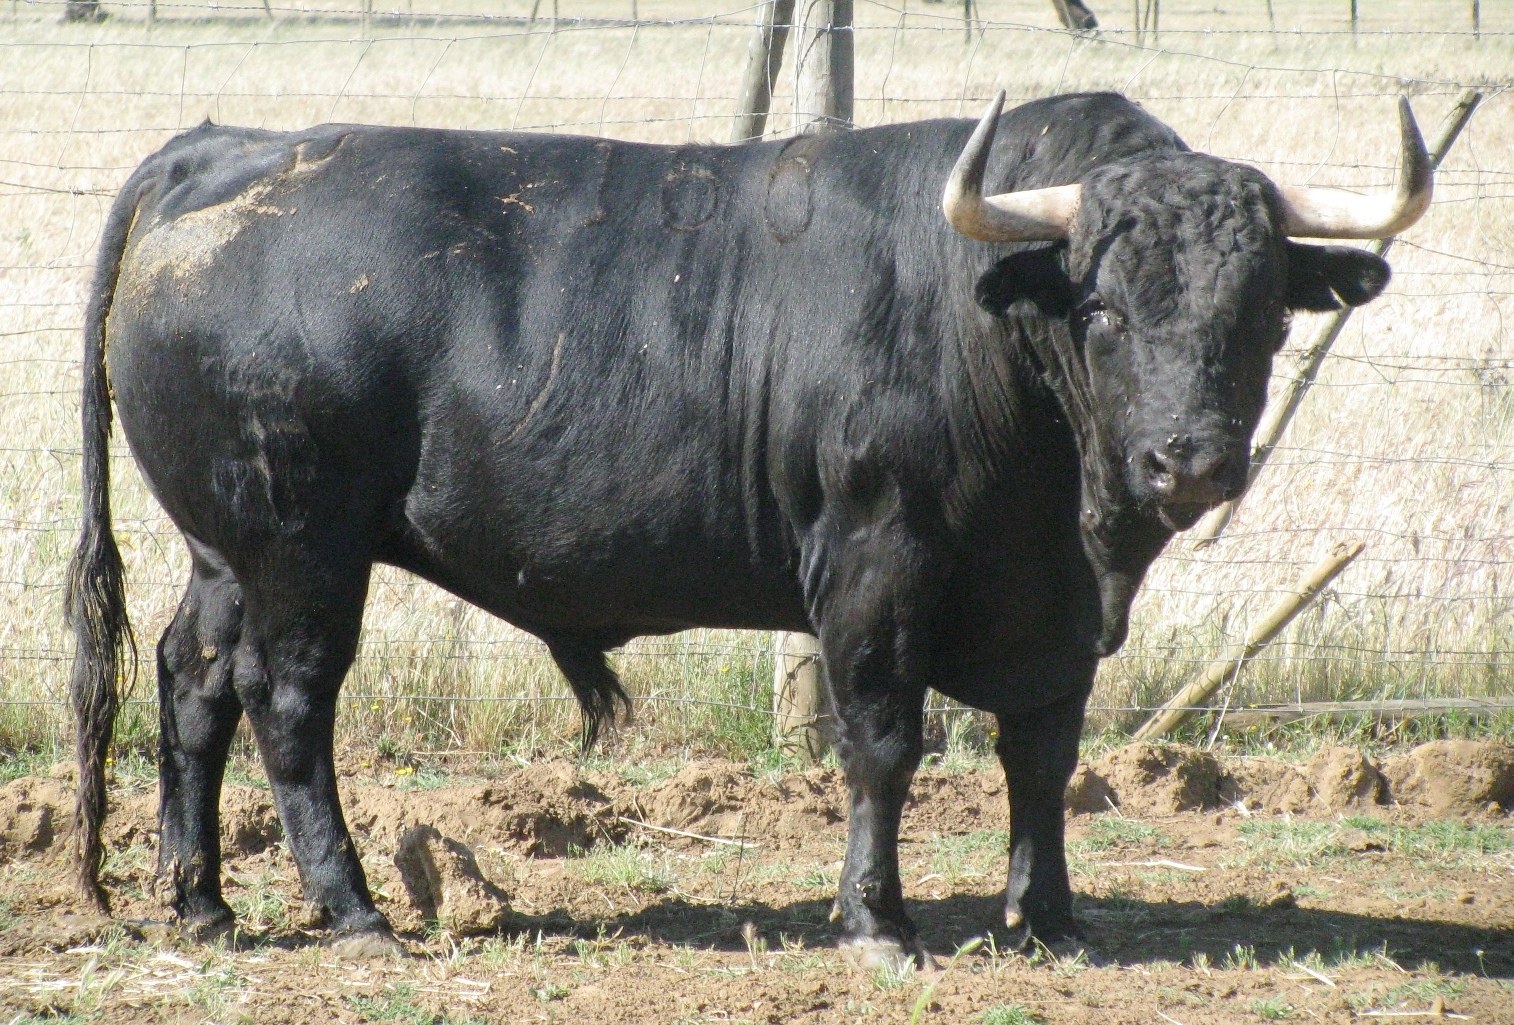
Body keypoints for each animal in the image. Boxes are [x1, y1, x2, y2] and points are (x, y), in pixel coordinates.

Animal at [68, 90, 1430, 966]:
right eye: (1098, 306)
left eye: (1264, 309)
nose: (1187, 459)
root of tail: (223, 148)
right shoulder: (875, 567)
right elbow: (882, 743)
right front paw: (877, 922)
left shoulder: (1053, 612)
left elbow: (1041, 754)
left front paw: (1046, 916)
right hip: (301, 544)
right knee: (287, 700)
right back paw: (349, 908)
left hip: (225, 548)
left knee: (192, 680)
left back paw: (202, 904)